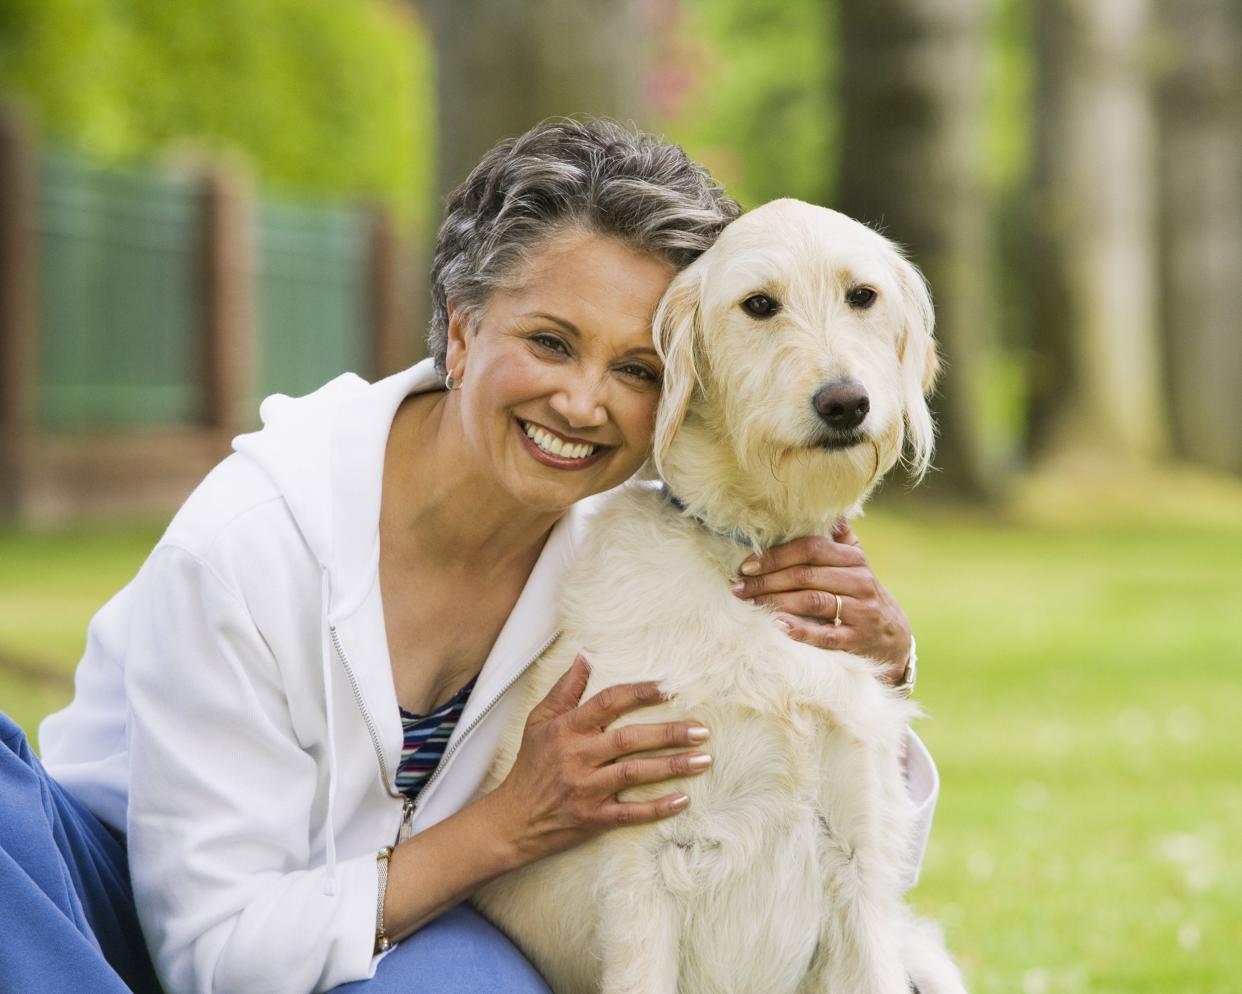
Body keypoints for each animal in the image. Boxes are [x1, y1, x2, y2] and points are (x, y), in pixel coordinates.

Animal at [469, 200, 963, 993]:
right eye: (759, 304)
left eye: (862, 295)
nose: (844, 402)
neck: (749, 547)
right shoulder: (644, 865)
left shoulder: (862, 863)